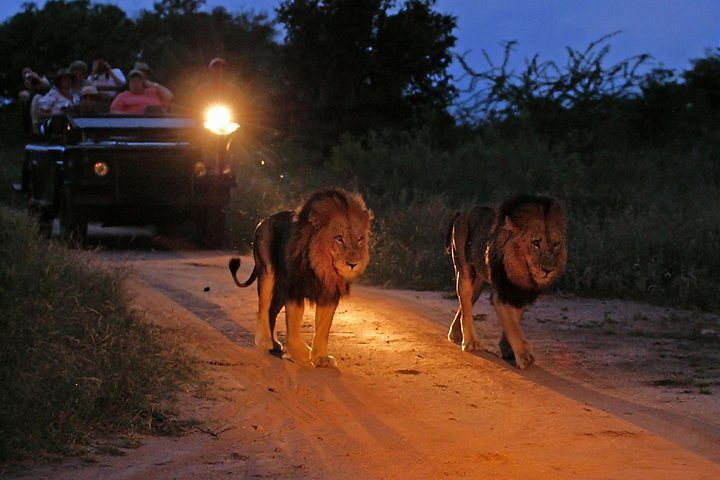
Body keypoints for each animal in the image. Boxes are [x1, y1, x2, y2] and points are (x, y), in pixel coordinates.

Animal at [229, 188, 372, 367]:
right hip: (267, 275)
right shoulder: (294, 290)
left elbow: (323, 328)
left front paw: (320, 358)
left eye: (359, 240)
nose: (353, 264)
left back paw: (274, 344)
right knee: (262, 308)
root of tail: (263, 221)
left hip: (280, 290)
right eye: (339, 238)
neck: (320, 267)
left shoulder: (329, 294)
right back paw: (265, 341)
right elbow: (293, 329)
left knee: (271, 311)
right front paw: (303, 354)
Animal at [446, 194, 567, 369]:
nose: (548, 269)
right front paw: (524, 355)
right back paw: (470, 341)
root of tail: (462, 212)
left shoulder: (520, 293)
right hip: (464, 270)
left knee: (465, 304)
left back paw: (455, 334)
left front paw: (508, 349)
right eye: (535, 242)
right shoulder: (500, 294)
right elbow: (512, 325)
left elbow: (515, 320)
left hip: (478, 283)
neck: (522, 272)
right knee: (465, 304)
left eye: (556, 244)